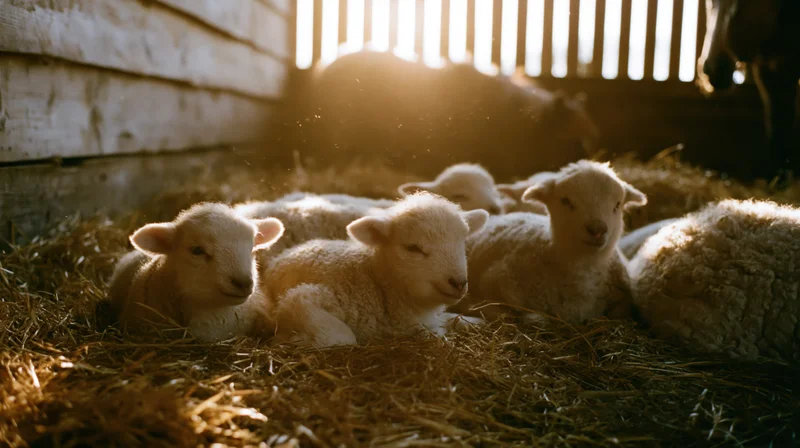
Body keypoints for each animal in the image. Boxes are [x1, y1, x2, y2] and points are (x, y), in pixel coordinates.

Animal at [262, 192, 489, 347]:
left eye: (462, 241)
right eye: (413, 248)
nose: (458, 282)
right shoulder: (304, 298)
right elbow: (342, 337)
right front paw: (292, 338)